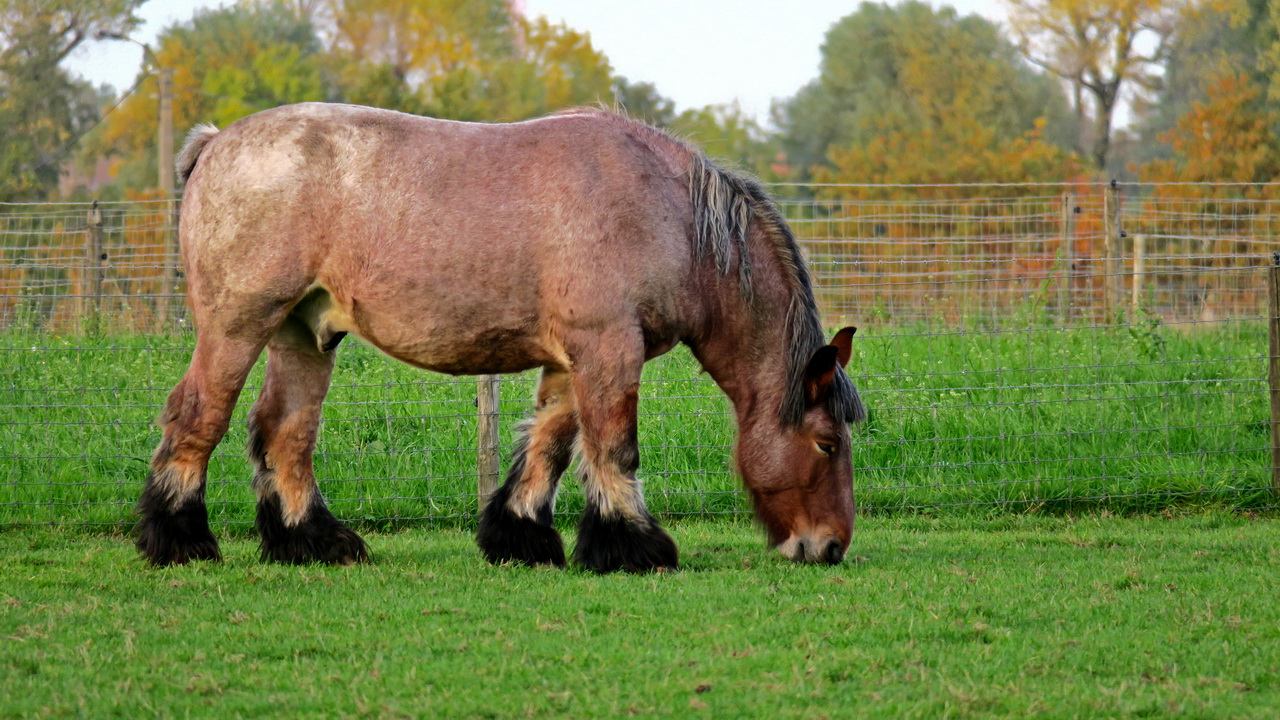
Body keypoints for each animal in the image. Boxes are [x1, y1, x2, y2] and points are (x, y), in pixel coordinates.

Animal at [135, 101, 865, 571]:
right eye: (826, 444)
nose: (830, 547)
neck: (672, 215)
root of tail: (215, 142)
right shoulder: (609, 349)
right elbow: (614, 447)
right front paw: (634, 547)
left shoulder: (575, 360)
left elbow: (550, 445)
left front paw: (521, 538)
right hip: (237, 328)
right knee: (198, 416)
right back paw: (180, 541)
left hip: (304, 334)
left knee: (284, 434)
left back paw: (312, 543)